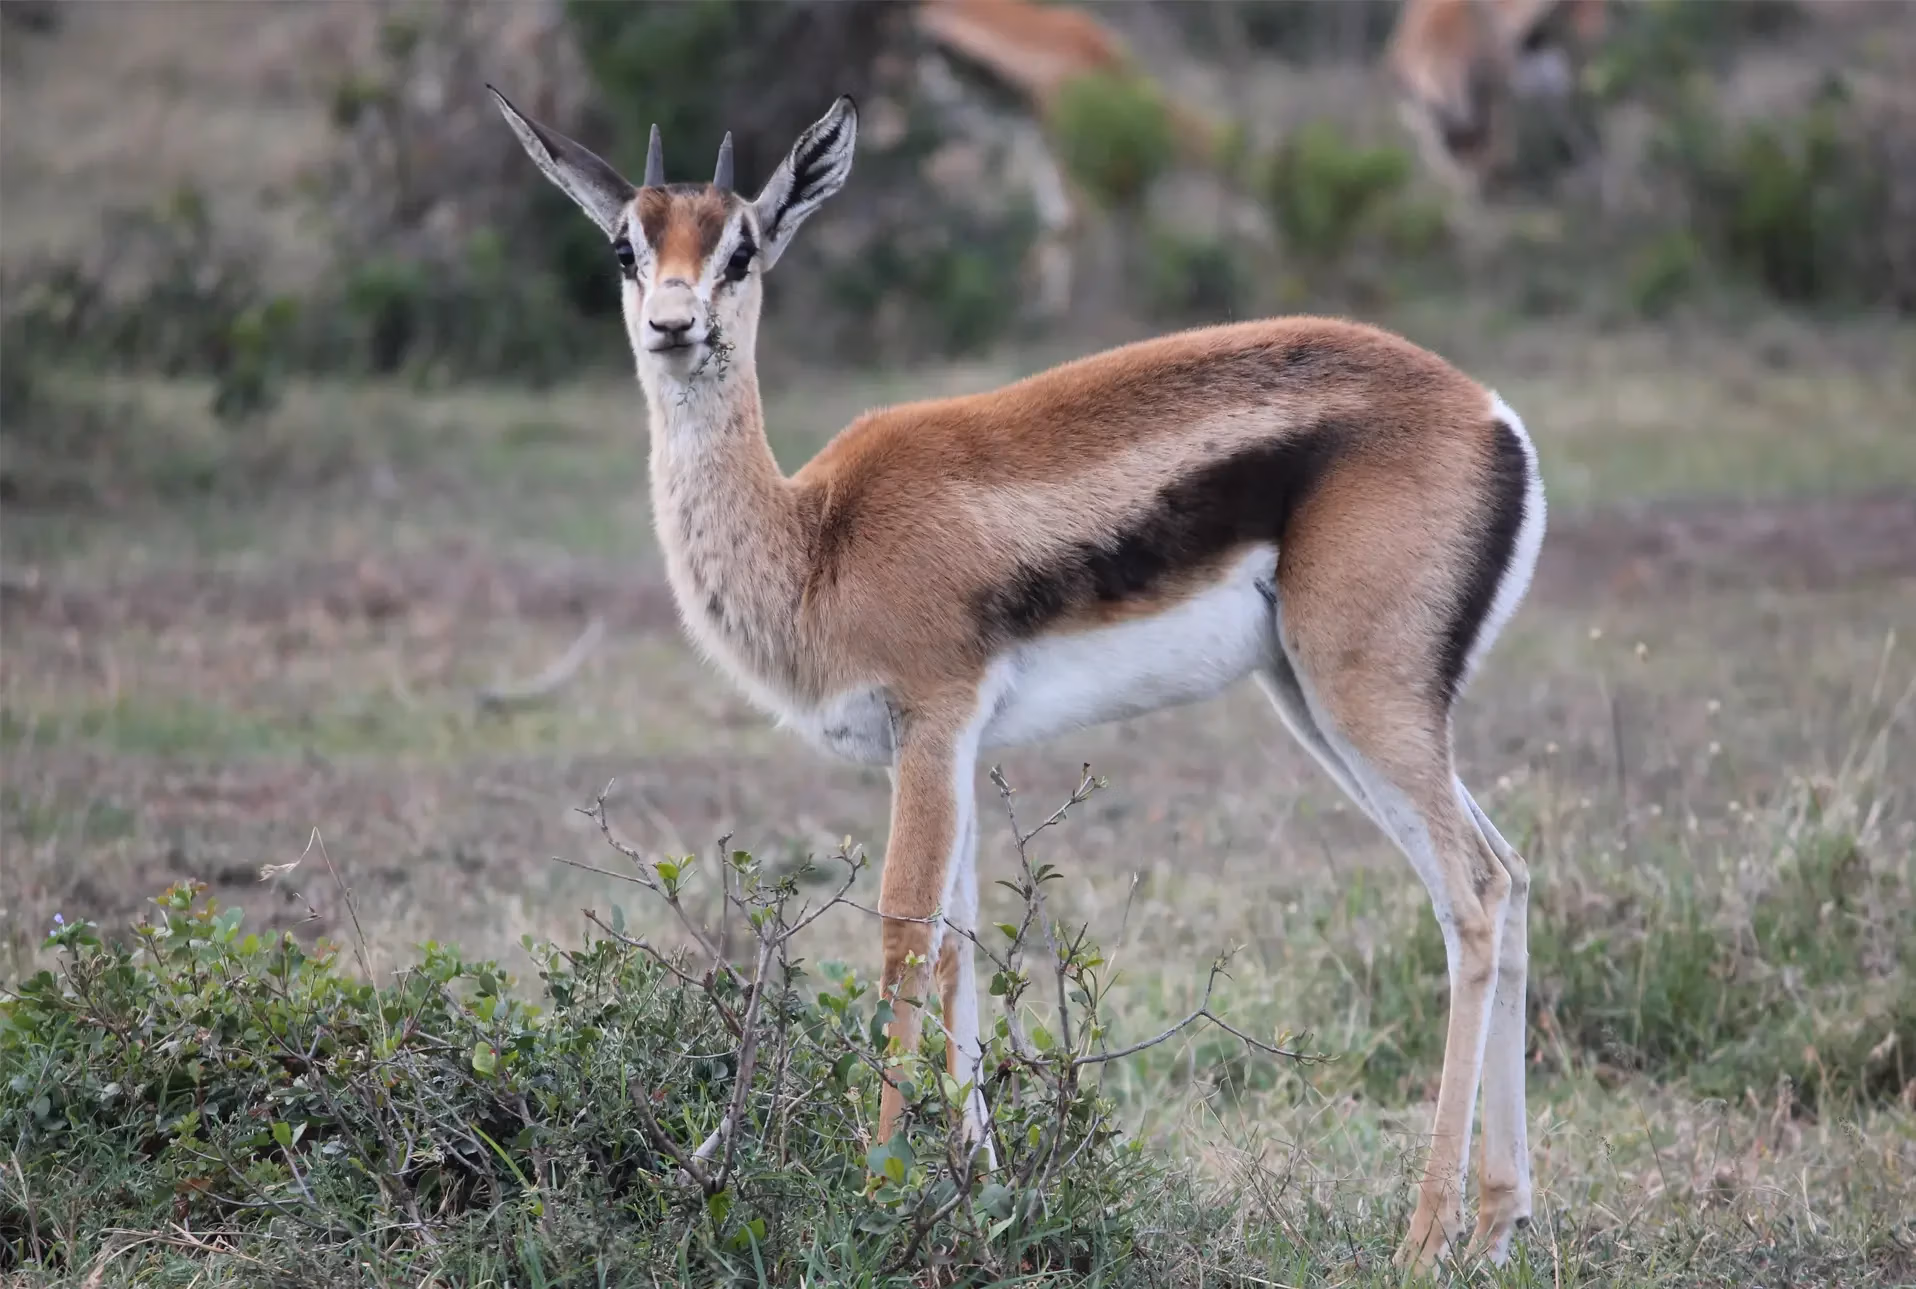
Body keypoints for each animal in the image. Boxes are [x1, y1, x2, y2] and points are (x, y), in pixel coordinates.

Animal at [490, 87, 1546, 1270]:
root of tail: (1489, 416)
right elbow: (960, 942)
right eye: (626, 248)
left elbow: (905, 932)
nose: (673, 325)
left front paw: (875, 1187)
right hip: (1320, 701)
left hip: (1359, 694)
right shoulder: (944, 748)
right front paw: (980, 1194)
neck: (818, 537)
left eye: (741, 248)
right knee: (1509, 875)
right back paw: (1497, 1224)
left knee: (1471, 892)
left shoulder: (933, 723)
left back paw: (1423, 1238)